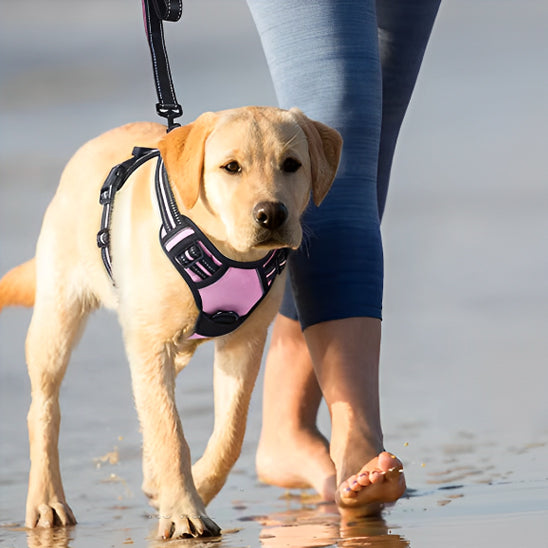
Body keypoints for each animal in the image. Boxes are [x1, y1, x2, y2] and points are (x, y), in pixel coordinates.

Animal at [0, 107, 342, 540]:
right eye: (231, 167)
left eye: (292, 165)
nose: (271, 215)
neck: (222, 248)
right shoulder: (151, 344)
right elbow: (170, 433)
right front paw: (183, 510)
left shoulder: (245, 340)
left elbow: (230, 432)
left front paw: (193, 487)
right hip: (58, 318)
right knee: (45, 409)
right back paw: (47, 500)